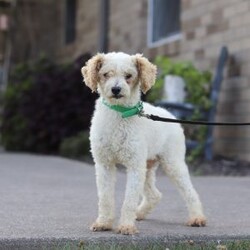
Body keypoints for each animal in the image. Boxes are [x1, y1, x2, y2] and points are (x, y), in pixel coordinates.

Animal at [82, 52, 207, 234]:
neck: (121, 114)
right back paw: (139, 213)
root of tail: (169, 114)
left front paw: (126, 226)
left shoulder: (134, 165)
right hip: (147, 166)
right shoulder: (104, 164)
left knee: (190, 192)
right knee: (155, 195)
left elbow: (129, 199)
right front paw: (103, 223)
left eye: (128, 76)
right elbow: (105, 197)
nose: (116, 90)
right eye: (106, 74)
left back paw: (197, 218)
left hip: (172, 163)